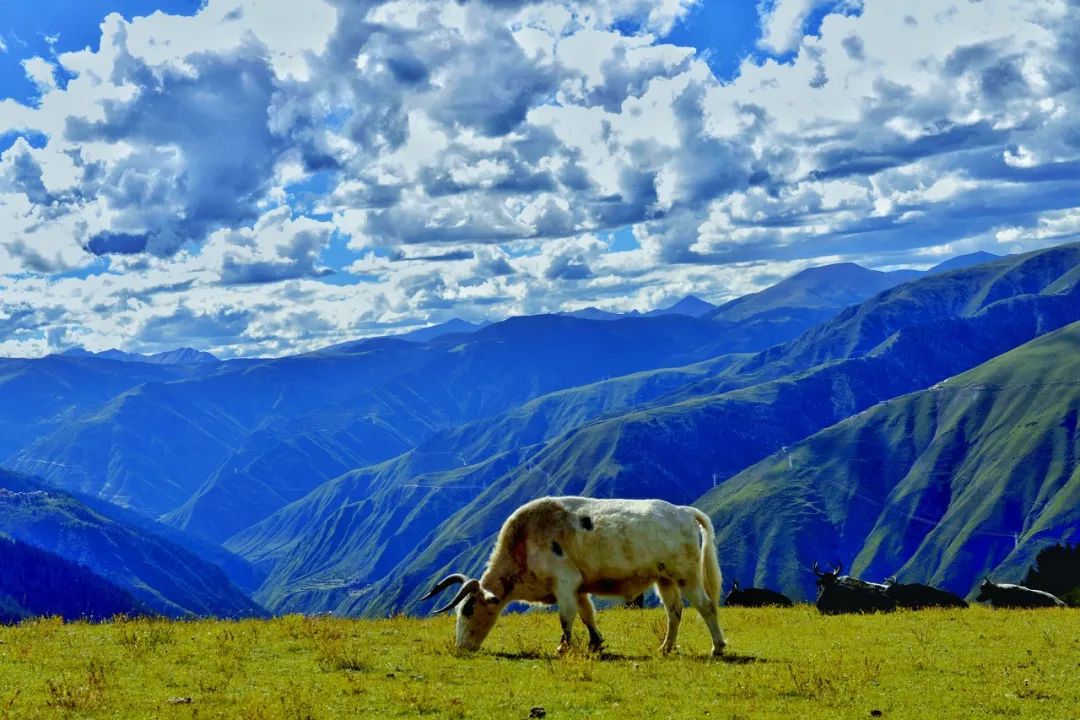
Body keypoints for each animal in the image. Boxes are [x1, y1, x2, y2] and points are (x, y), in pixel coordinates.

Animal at [416, 498, 730, 656]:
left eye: (468, 610)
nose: (461, 647)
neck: (524, 541)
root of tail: (683, 511)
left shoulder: (564, 584)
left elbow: (566, 617)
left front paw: (562, 647)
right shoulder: (579, 588)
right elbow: (587, 614)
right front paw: (595, 643)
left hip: (687, 575)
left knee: (706, 606)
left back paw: (717, 647)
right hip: (664, 579)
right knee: (674, 612)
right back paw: (665, 648)